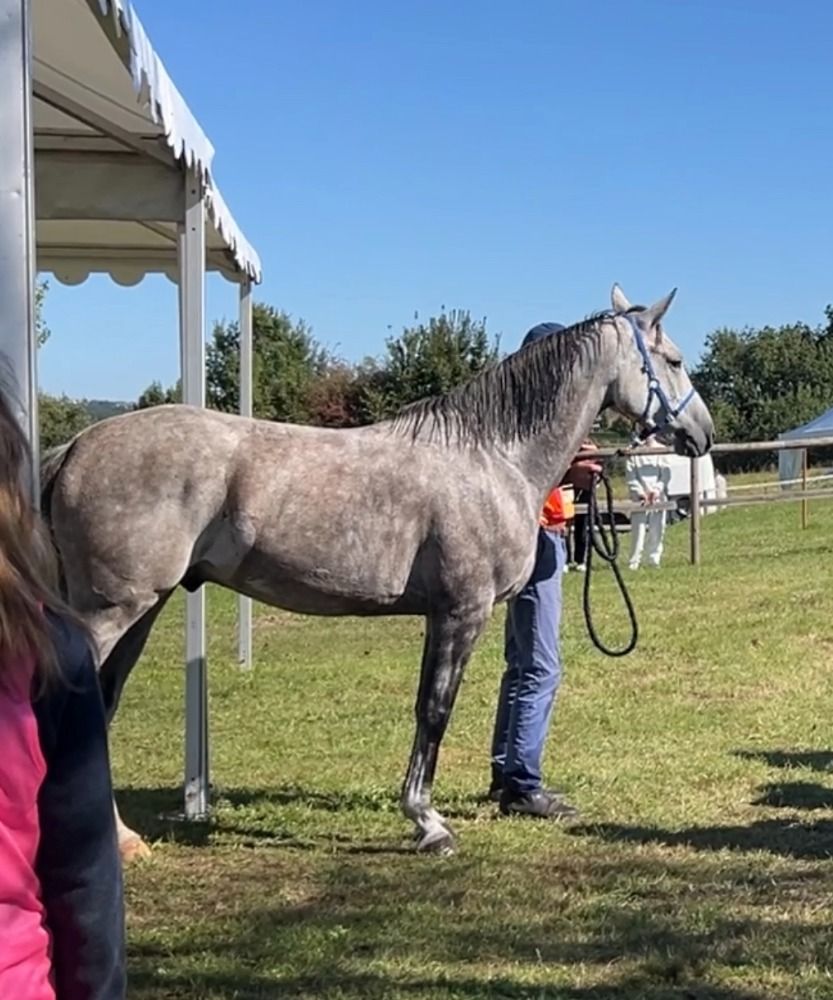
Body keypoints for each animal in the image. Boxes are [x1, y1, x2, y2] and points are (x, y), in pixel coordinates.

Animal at [41, 284, 714, 860]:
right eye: (674, 360)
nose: (703, 433)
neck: (491, 456)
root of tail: (75, 447)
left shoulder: (443, 614)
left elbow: (426, 707)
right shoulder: (460, 612)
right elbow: (435, 711)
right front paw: (428, 822)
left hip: (139, 611)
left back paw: (121, 840)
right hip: (113, 611)